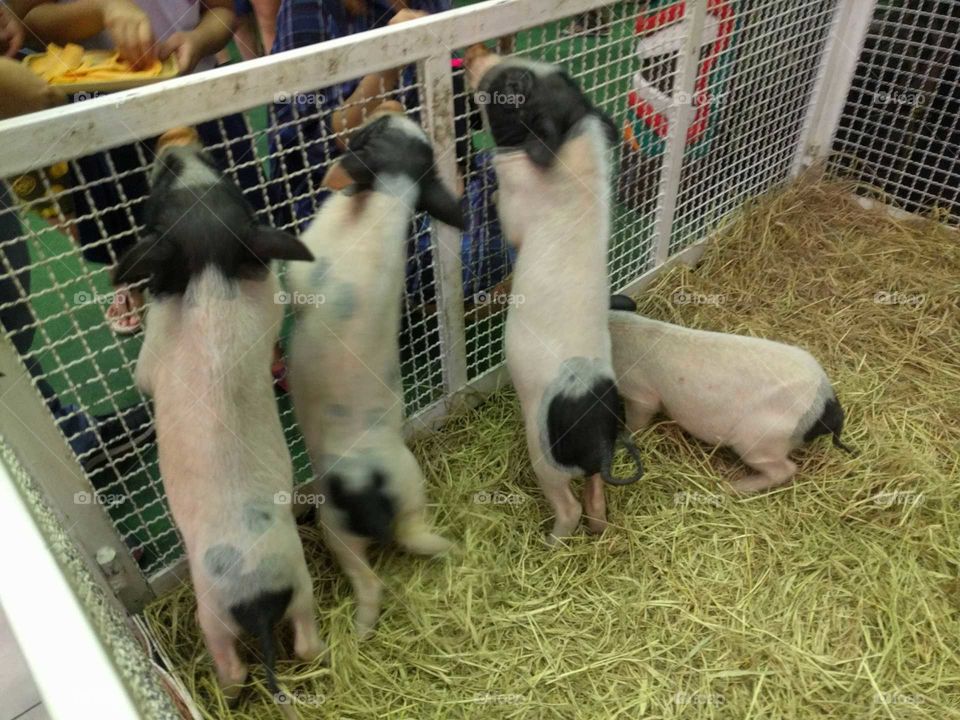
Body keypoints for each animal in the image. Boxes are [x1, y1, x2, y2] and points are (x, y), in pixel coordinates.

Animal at [114, 129, 325, 706]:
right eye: (233, 187)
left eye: (159, 195)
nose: (177, 147)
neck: (210, 277)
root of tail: (258, 598)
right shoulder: (266, 301)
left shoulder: (152, 358)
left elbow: (142, 375)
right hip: (301, 585)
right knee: (307, 642)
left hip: (212, 613)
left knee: (233, 666)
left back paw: (227, 690)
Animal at [286, 108, 460, 638]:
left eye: (370, 135)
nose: (391, 110)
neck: (390, 197)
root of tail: (375, 486)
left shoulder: (311, 256)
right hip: (411, 488)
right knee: (415, 537)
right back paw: (454, 549)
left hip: (336, 524)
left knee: (369, 580)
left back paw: (361, 631)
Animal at [466, 47, 644, 542]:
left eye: (516, 85)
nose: (475, 53)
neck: (570, 143)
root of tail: (601, 438)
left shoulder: (518, 203)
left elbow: (508, 221)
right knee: (597, 497)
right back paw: (598, 530)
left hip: (543, 450)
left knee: (569, 504)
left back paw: (551, 539)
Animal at [608, 294, 854, 499]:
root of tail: (828, 402)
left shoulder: (640, 393)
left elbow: (638, 419)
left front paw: (623, 436)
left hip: (760, 440)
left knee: (786, 469)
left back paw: (730, 487)